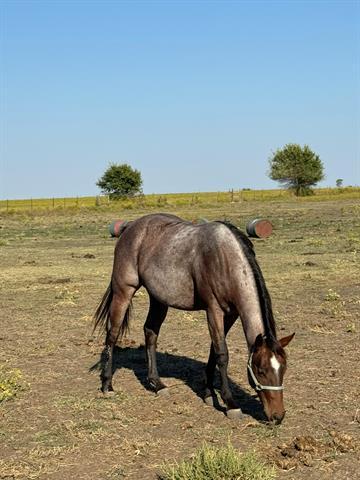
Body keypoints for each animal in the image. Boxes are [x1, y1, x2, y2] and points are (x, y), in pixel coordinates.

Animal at [94, 214, 294, 424]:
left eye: (283, 369)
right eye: (261, 370)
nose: (278, 415)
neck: (226, 259)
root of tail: (130, 227)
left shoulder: (231, 314)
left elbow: (214, 351)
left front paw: (208, 393)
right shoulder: (213, 310)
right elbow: (222, 354)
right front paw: (230, 403)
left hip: (158, 299)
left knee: (150, 332)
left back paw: (157, 384)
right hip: (123, 291)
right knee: (112, 333)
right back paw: (107, 385)